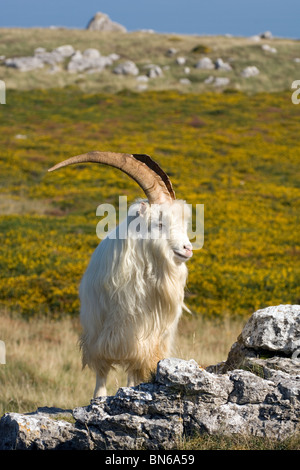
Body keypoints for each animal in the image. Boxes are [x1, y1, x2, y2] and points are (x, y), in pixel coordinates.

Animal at [47, 152, 192, 394]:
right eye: (160, 223)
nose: (187, 249)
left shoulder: (143, 338)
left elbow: (134, 368)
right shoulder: (101, 333)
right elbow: (101, 371)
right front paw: (98, 397)